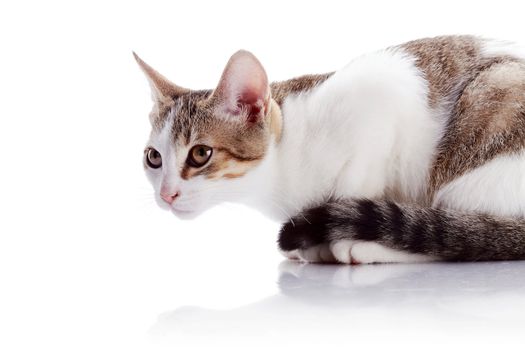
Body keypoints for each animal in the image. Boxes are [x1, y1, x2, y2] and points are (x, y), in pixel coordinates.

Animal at [137, 36, 524, 266]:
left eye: (200, 154)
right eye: (153, 158)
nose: (167, 194)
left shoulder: (383, 93)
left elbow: (355, 181)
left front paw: (333, 237)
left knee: (465, 238)